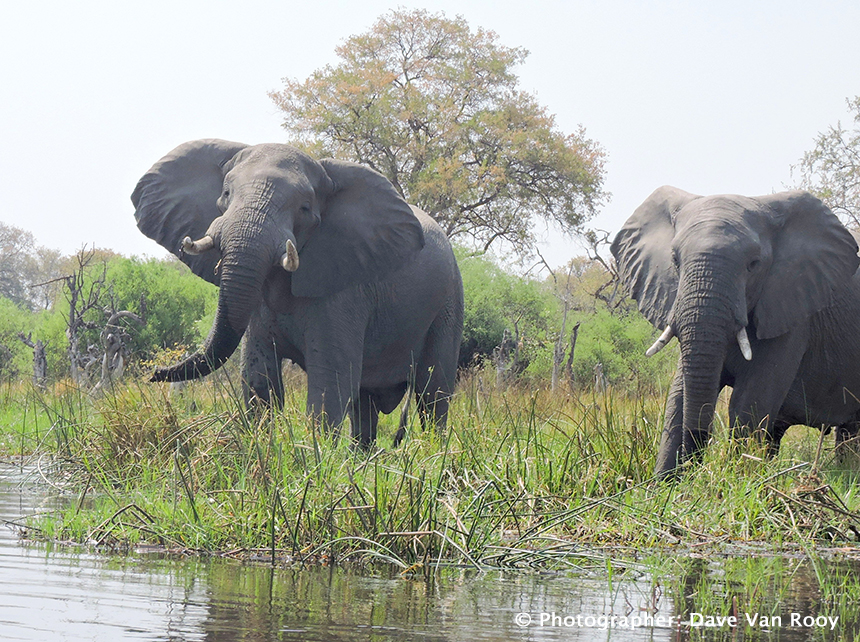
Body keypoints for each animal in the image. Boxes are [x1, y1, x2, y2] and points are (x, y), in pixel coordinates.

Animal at [131, 139, 464, 446]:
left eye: (304, 208)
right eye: (226, 194)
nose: (154, 373)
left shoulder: (344, 287)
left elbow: (330, 381)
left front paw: (316, 455)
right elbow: (259, 380)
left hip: (449, 302)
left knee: (433, 394)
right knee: (365, 404)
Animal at [611, 186, 860, 477]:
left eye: (753, 264)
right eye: (674, 260)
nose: (693, 464)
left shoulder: (791, 311)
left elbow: (748, 402)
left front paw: (734, 478)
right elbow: (678, 397)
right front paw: (664, 483)